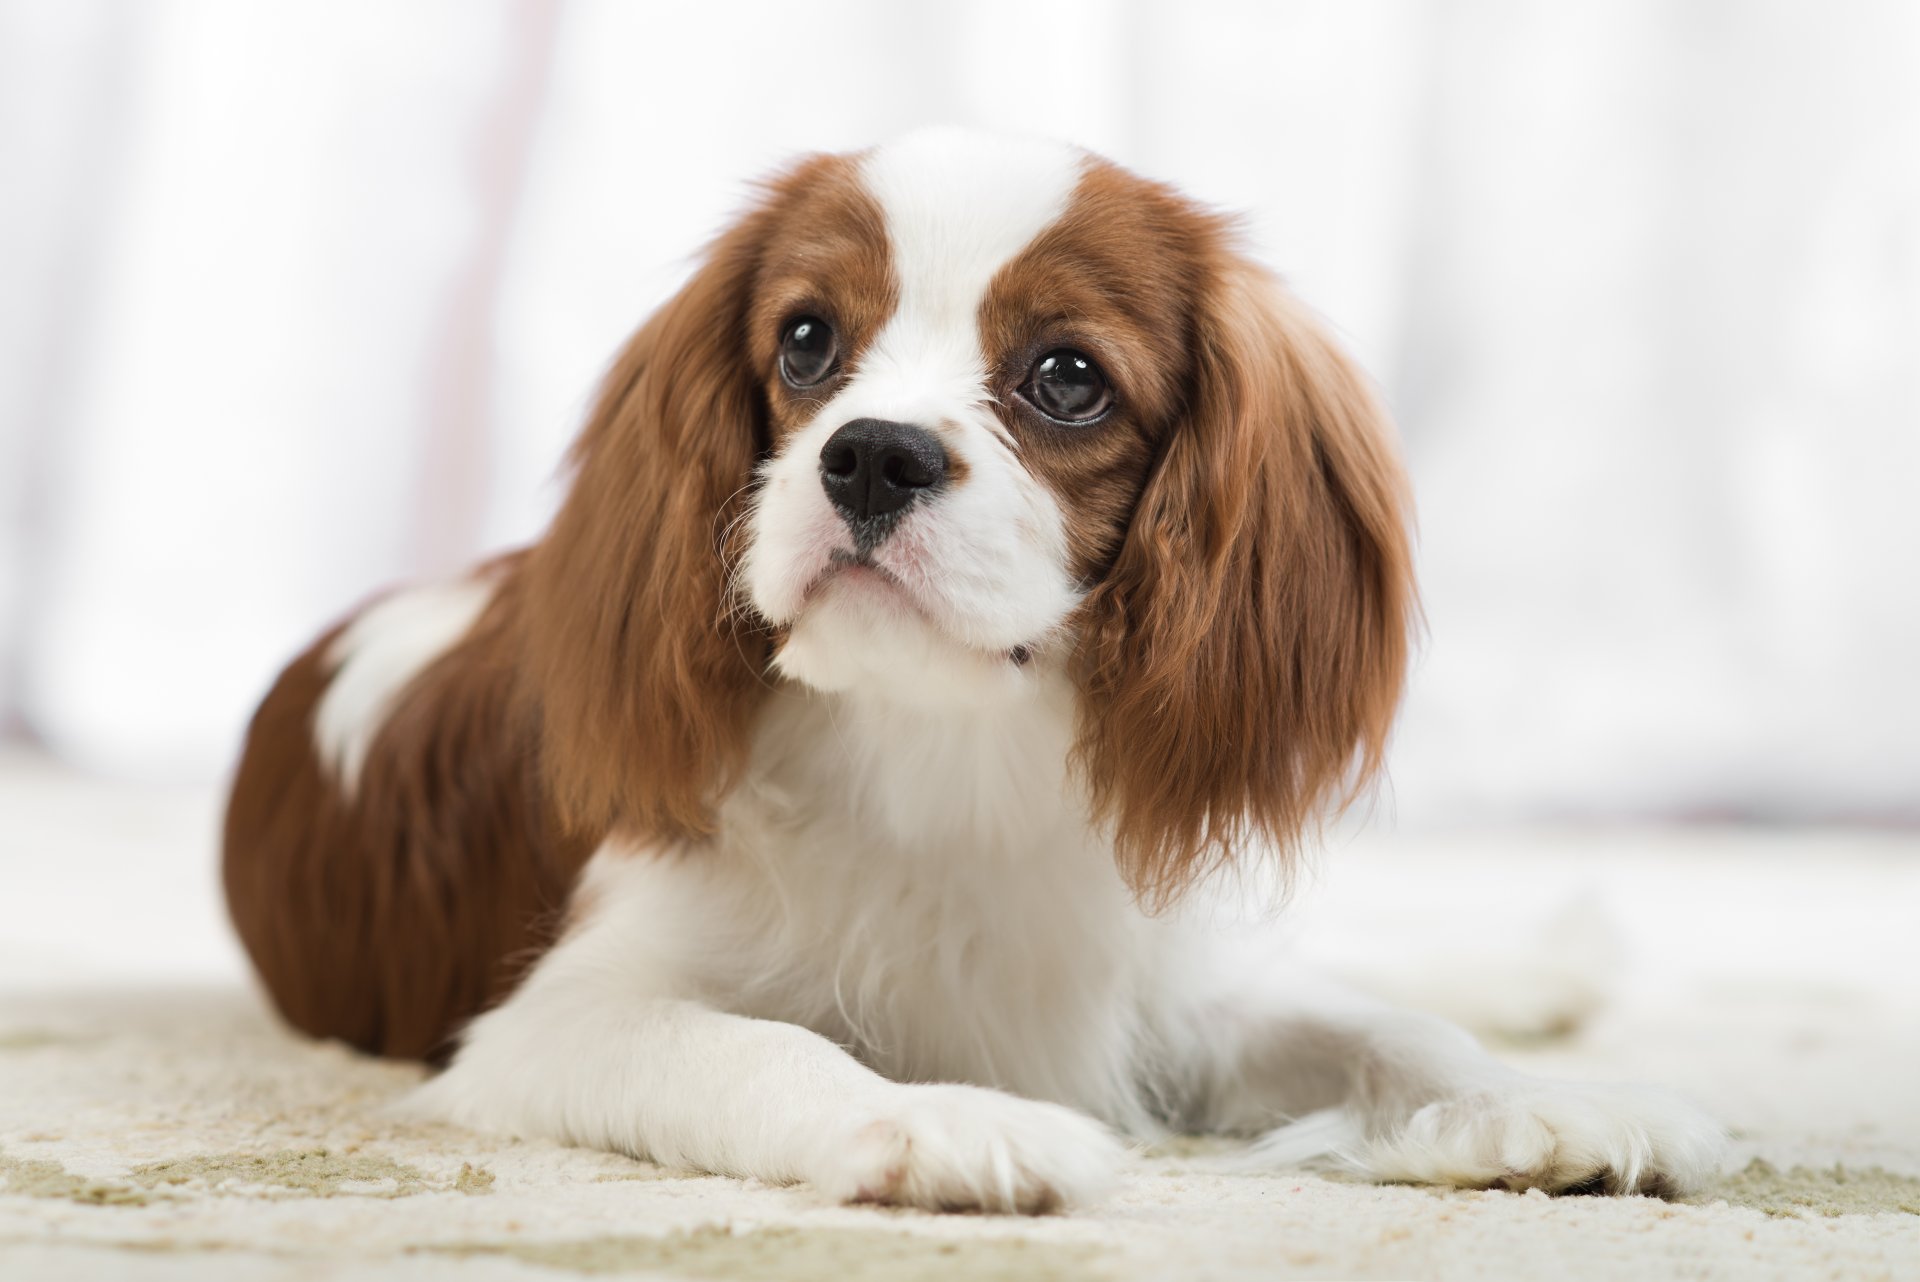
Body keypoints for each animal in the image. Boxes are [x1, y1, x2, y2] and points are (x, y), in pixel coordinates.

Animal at [228, 127, 1728, 1212]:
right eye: (807, 341)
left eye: (1067, 377)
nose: (871, 453)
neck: (939, 736)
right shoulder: (556, 1023)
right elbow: (764, 1045)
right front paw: (934, 1114)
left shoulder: (1164, 984)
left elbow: (1376, 1027)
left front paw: (1529, 1103)